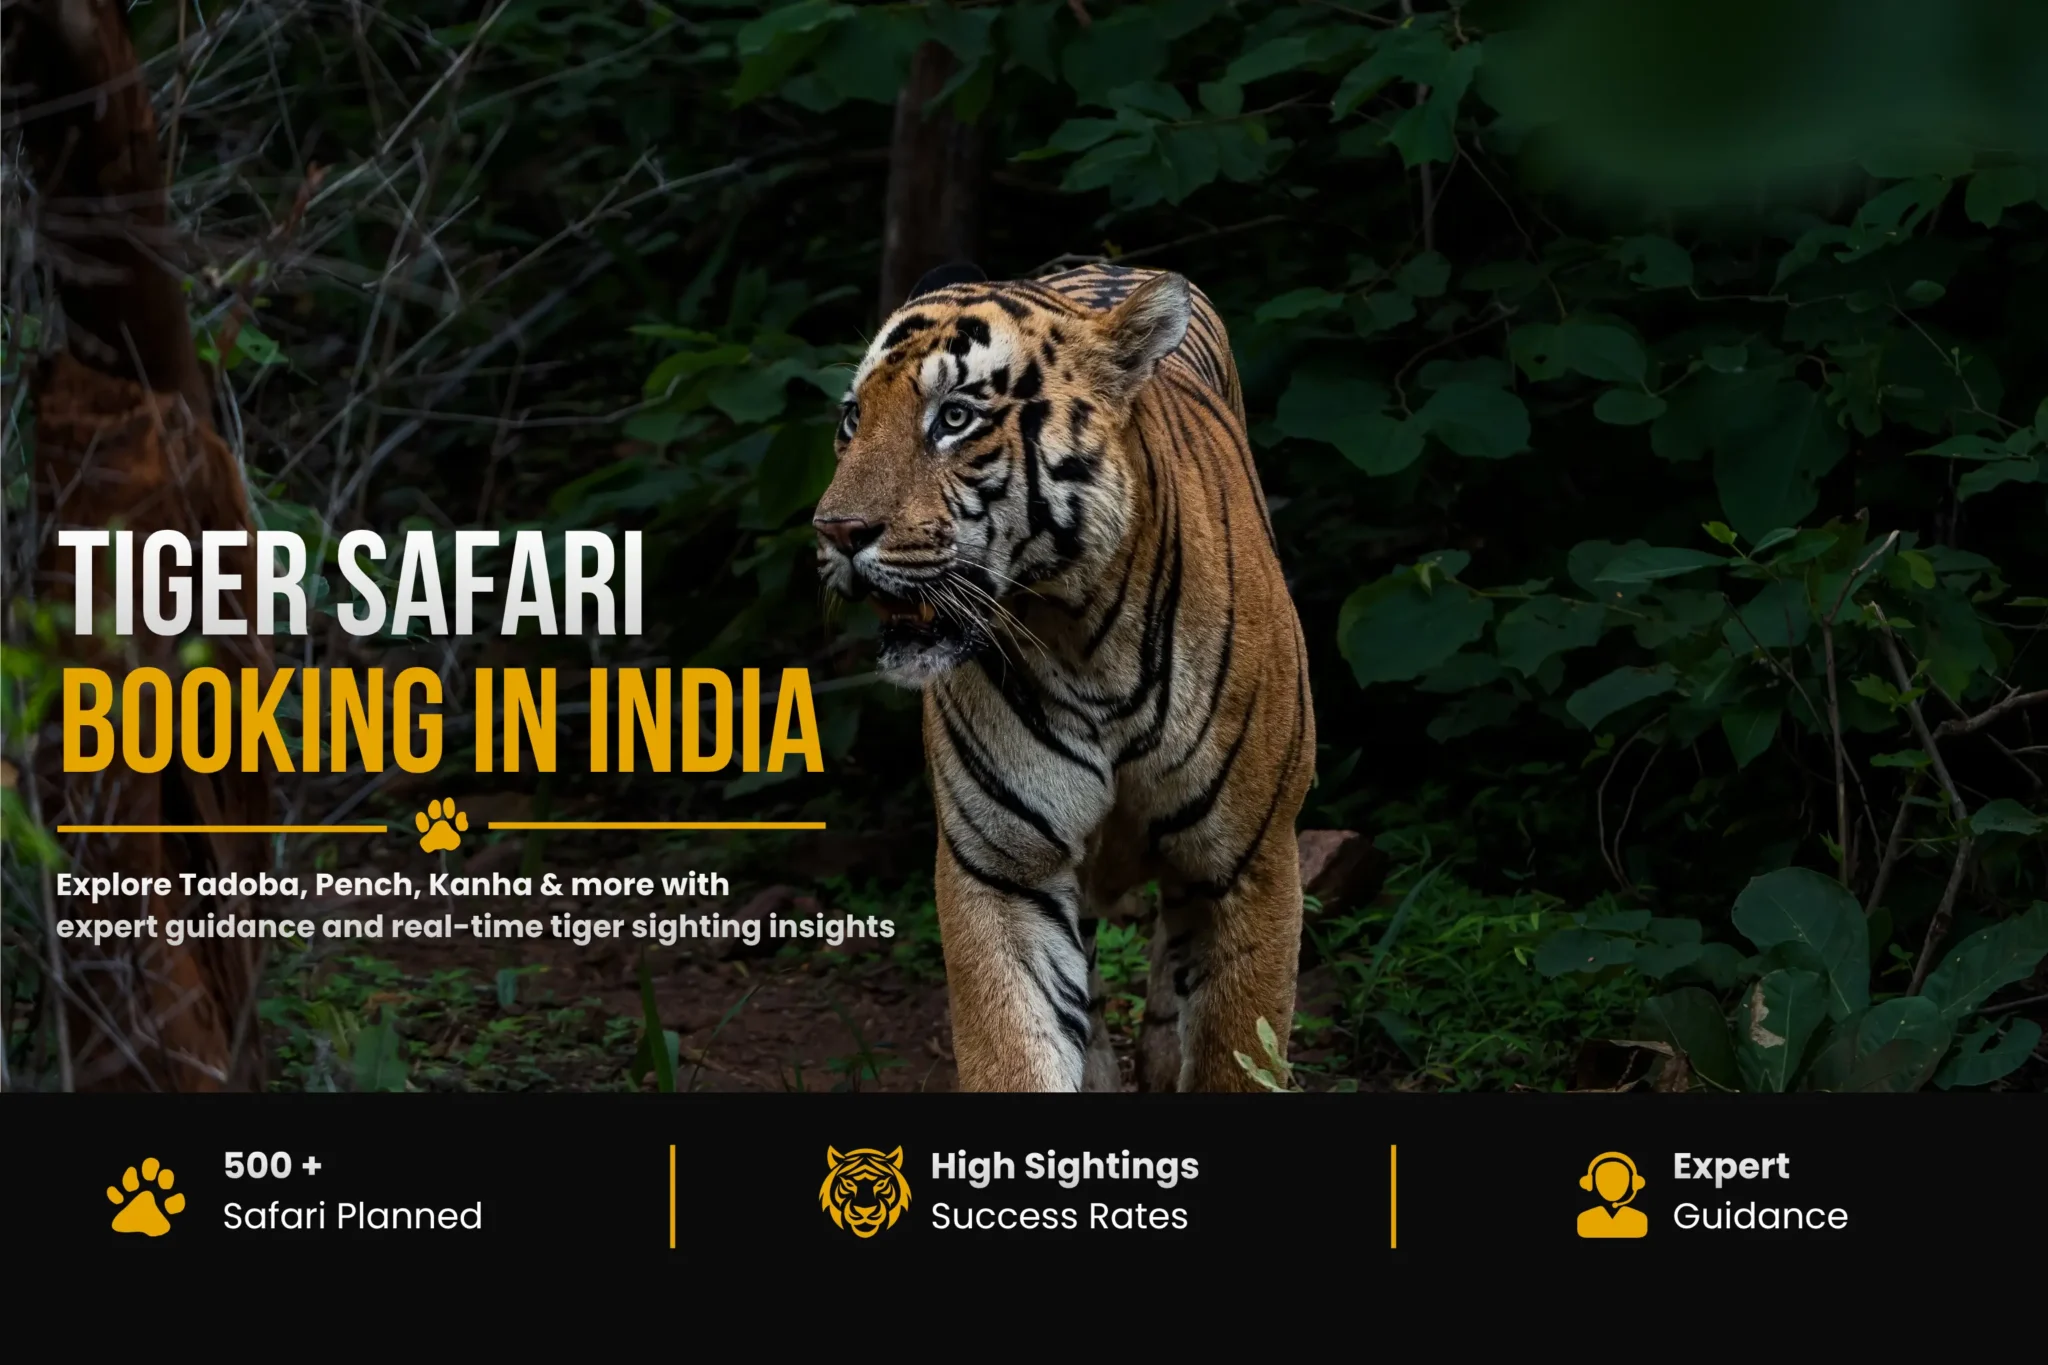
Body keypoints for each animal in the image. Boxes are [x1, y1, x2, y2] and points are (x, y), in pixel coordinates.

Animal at [813, 260, 1315, 1094]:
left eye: (954, 417)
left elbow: (1238, 1048)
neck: (1084, 639)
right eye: (853, 418)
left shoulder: (1250, 864)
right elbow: (1017, 1046)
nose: (837, 532)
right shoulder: (1004, 867)